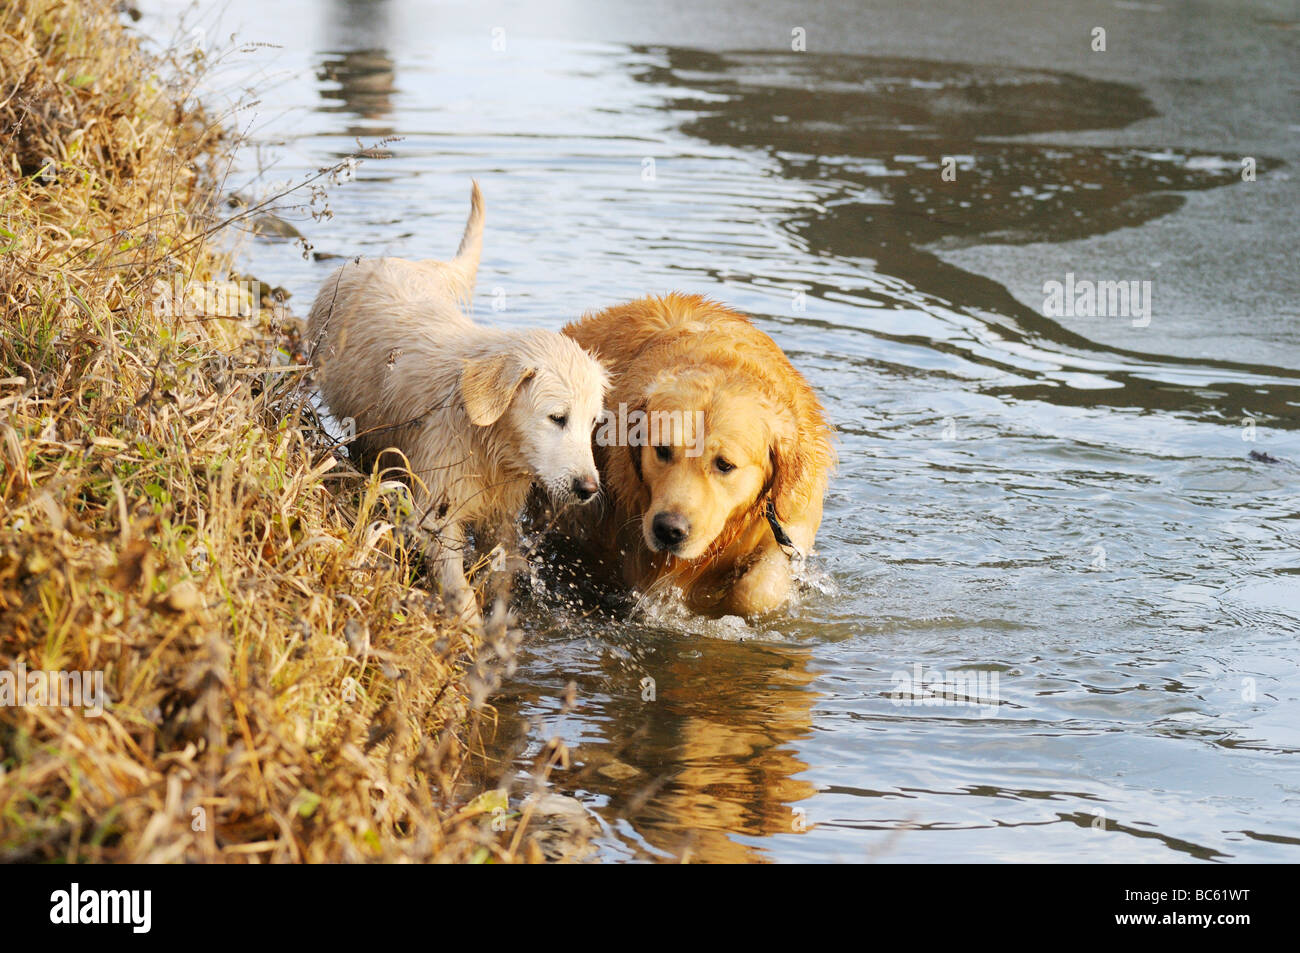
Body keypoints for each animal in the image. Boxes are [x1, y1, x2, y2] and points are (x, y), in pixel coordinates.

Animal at [305, 180, 608, 629]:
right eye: (557, 418)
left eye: (592, 424)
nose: (588, 489)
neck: (485, 439)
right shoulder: (438, 508)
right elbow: (456, 582)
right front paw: (468, 627)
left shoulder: (500, 514)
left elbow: (499, 570)